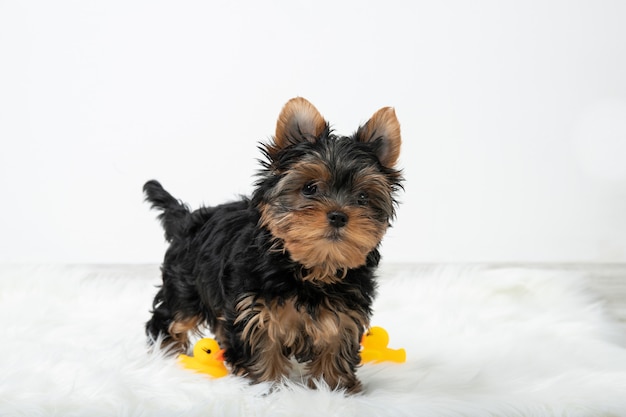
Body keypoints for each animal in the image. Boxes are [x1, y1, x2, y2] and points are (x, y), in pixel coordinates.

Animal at [144, 96, 402, 392]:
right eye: (310, 188)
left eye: (362, 197)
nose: (338, 216)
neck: (310, 268)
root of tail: (187, 220)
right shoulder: (254, 309)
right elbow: (261, 347)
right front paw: (266, 386)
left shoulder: (344, 312)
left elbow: (335, 345)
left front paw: (334, 387)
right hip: (185, 288)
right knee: (171, 317)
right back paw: (166, 354)